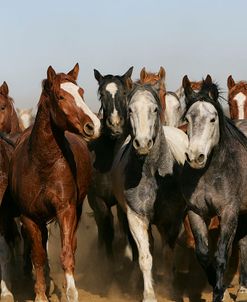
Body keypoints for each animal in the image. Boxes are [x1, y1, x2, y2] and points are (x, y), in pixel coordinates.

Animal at [7, 63, 100, 302]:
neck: (42, 164)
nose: (94, 125)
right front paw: (40, 294)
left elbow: (66, 253)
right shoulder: (29, 217)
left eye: (81, 92)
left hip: (76, 209)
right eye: (60, 96)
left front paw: (71, 293)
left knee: (72, 245)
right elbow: (38, 256)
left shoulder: (66, 209)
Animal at [112, 82, 187, 302]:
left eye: (154, 109)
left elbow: (168, 253)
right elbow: (145, 257)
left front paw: (170, 289)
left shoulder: (172, 219)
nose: (143, 143)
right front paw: (149, 294)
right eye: (130, 109)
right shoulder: (136, 217)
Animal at [181, 73, 247, 302]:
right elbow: (203, 254)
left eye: (212, 119)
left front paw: (220, 294)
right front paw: (221, 288)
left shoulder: (228, 212)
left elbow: (220, 256)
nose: (195, 156)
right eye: (187, 119)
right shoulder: (196, 212)